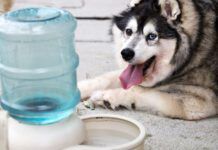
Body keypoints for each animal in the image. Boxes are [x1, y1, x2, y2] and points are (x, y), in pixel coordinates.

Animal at [78, 0, 218, 120]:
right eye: (129, 31)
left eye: (151, 36)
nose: (126, 53)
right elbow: (105, 78)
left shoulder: (203, 99)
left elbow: (143, 91)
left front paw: (107, 96)